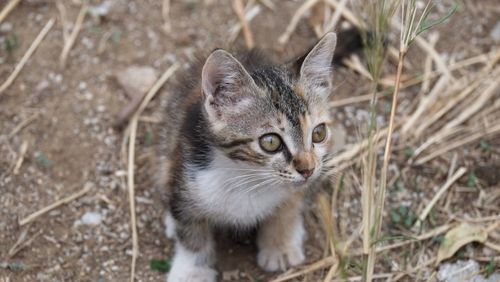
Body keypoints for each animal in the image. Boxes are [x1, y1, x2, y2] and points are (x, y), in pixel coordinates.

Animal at [158, 31, 358, 282]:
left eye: (319, 133)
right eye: (270, 142)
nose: (308, 170)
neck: (249, 177)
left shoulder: (300, 186)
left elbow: (288, 209)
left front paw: (279, 246)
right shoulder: (187, 174)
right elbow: (191, 232)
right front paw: (192, 271)